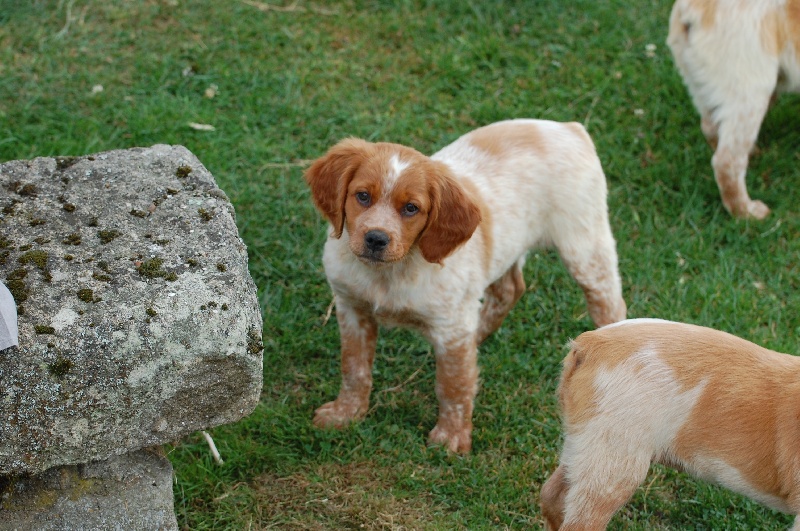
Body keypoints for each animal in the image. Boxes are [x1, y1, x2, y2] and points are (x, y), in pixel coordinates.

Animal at [304, 119, 627, 453]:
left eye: (411, 208)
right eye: (363, 196)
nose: (376, 239)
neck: (390, 273)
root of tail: (569, 127)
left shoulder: (452, 326)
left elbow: (453, 384)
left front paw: (451, 437)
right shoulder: (351, 307)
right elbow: (353, 366)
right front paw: (345, 413)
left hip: (585, 246)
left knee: (609, 303)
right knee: (509, 290)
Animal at [666, 0, 800, 219]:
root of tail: (692, 8)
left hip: (704, 87)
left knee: (711, 128)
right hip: (751, 92)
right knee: (726, 161)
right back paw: (747, 213)